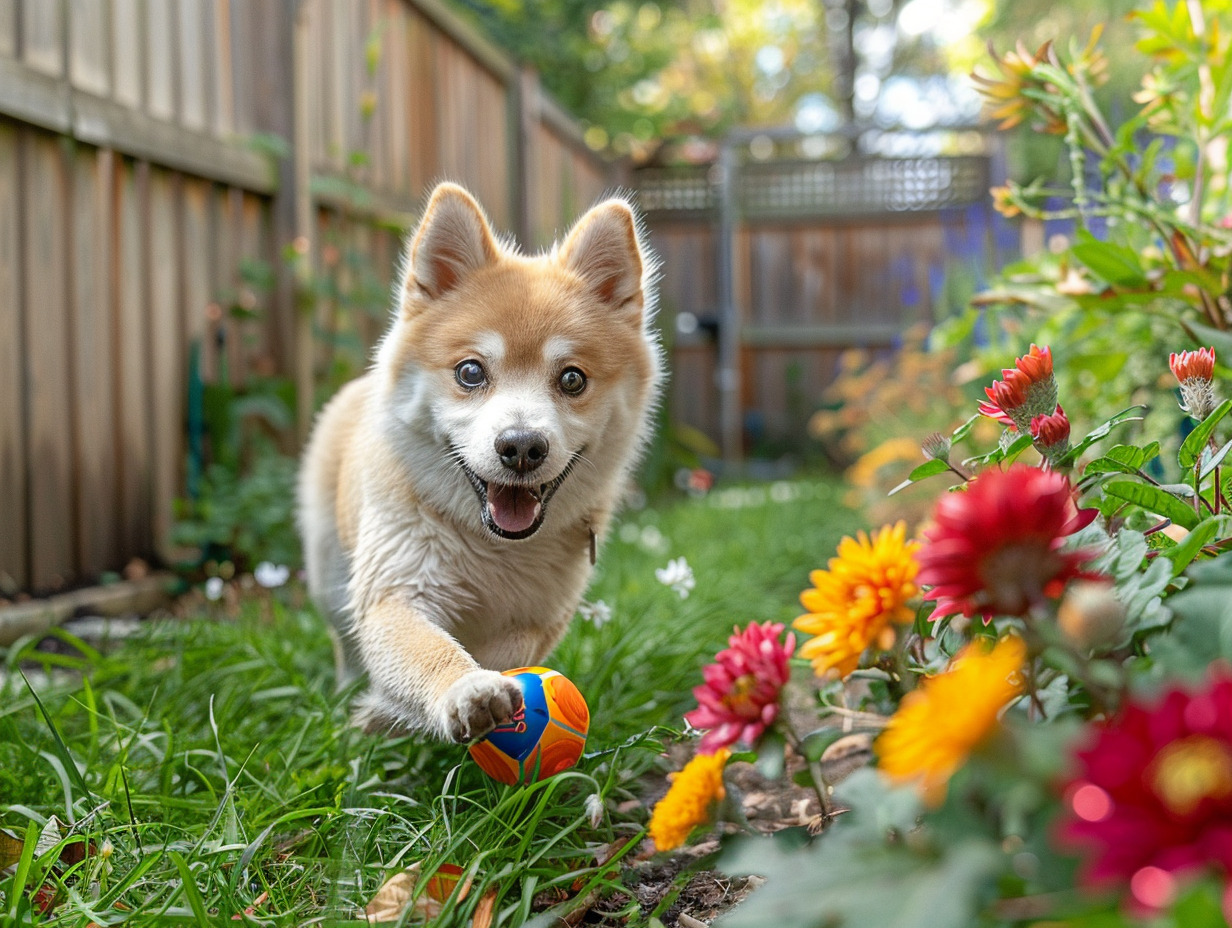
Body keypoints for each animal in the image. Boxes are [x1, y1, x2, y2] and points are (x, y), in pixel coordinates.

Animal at [295, 184, 665, 744]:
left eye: (572, 379)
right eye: (471, 372)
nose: (522, 446)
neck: (492, 549)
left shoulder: (540, 617)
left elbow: (508, 655)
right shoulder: (396, 592)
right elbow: (427, 649)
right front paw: (463, 689)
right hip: (328, 573)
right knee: (344, 639)